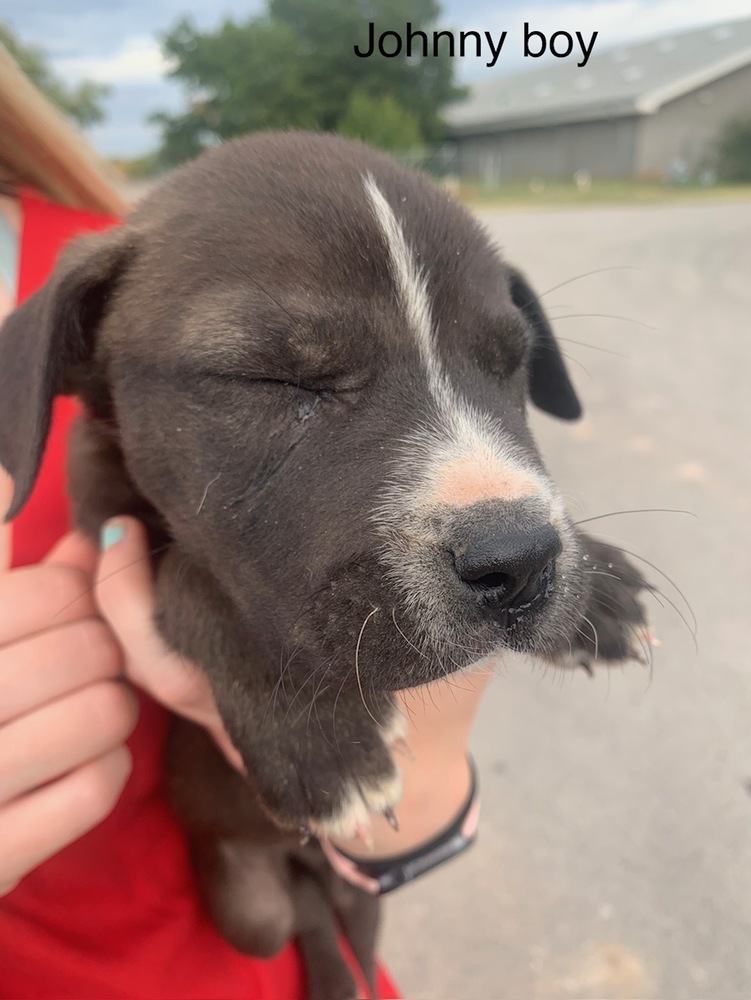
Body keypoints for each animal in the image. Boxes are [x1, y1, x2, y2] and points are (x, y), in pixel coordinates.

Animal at [0, 133, 648, 1000]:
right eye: (272, 379)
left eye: (511, 364)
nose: (518, 562)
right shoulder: (106, 529)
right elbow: (190, 579)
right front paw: (316, 739)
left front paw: (599, 588)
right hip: (251, 912)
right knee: (301, 918)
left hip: (354, 890)